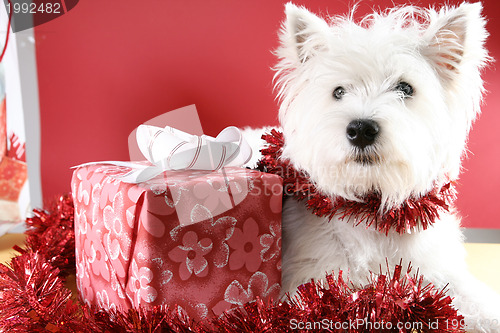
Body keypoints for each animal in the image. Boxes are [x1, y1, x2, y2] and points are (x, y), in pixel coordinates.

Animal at [245, 3, 500, 332]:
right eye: (339, 92)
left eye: (405, 88)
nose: (361, 130)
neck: (373, 210)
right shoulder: (311, 281)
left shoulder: (441, 274)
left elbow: (478, 303)